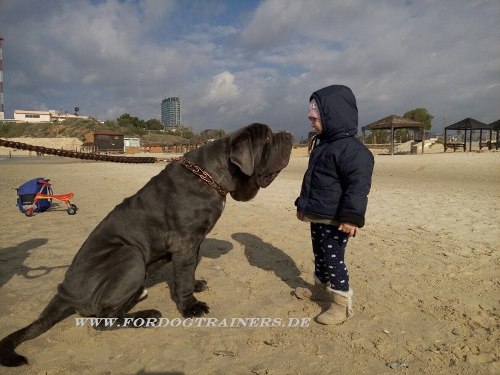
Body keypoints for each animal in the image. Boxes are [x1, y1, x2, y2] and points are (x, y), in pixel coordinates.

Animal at [0, 123, 292, 368]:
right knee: (101, 320)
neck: (211, 174)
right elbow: (183, 278)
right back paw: (146, 315)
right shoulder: (185, 241)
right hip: (129, 254)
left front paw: (195, 283)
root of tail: (64, 292)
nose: (288, 135)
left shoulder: (194, 242)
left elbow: (188, 270)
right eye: (267, 138)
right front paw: (190, 306)